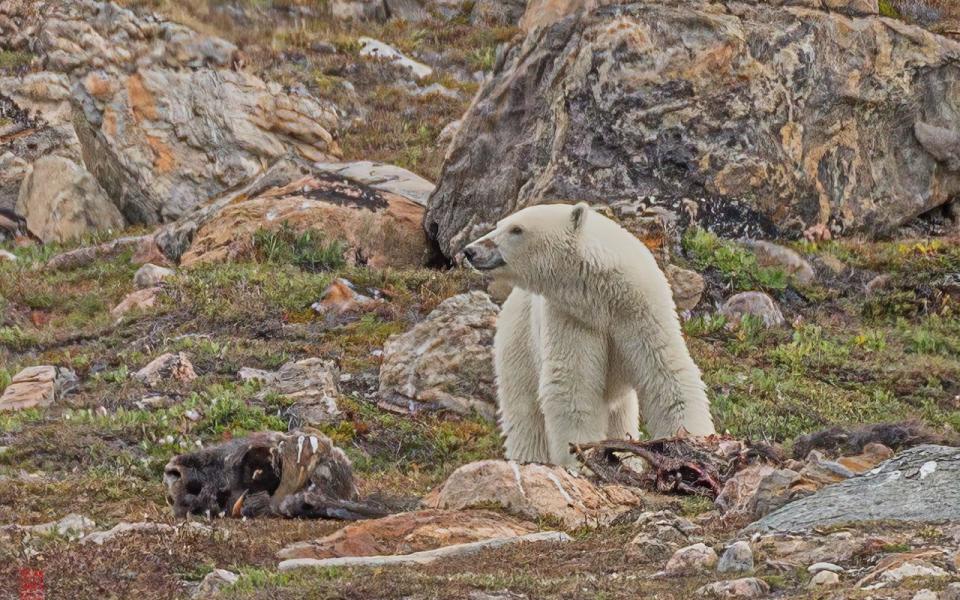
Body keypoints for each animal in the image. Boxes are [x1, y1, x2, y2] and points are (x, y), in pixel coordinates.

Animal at [462, 204, 716, 466]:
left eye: (516, 229)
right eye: (499, 224)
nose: (470, 250)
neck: (604, 298)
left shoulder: (642, 310)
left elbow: (666, 371)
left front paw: (692, 442)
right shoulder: (570, 317)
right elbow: (573, 384)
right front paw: (583, 457)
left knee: (621, 414)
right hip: (520, 341)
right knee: (524, 413)